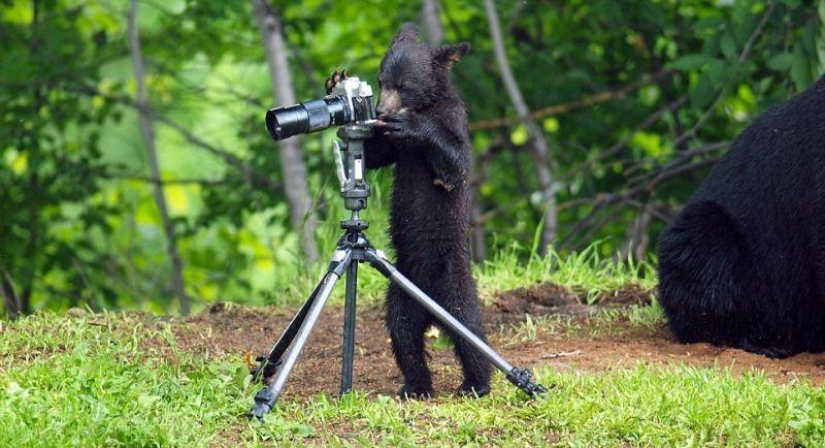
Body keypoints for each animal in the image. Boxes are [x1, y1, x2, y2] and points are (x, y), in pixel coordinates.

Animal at [356, 22, 490, 398]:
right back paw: (415, 386)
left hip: (454, 281)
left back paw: (476, 383)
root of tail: (431, 311)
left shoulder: (452, 119)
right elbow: (375, 156)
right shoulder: (397, 150)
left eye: (403, 85)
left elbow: (455, 166)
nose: (381, 112)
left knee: (468, 329)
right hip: (401, 291)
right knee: (402, 333)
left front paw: (413, 125)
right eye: (381, 80)